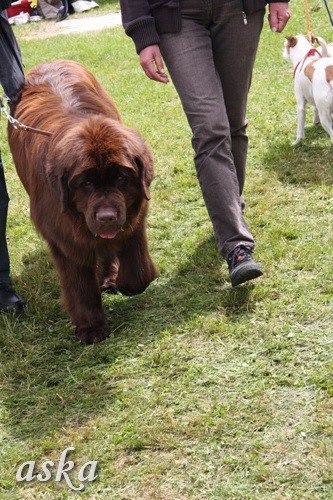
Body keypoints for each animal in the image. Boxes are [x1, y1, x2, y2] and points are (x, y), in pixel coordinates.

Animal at [8, 59, 156, 344]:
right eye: (85, 183)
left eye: (121, 178)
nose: (106, 217)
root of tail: (50, 60)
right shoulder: (63, 236)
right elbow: (79, 284)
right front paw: (91, 327)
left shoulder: (134, 217)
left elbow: (137, 274)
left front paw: (122, 282)